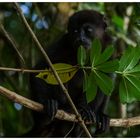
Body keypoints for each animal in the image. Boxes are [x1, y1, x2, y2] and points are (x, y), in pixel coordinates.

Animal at [28, 10, 111, 138]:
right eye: (75, 31)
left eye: (88, 30)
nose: (80, 38)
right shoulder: (63, 42)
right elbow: (41, 67)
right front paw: (46, 103)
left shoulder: (108, 45)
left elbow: (106, 78)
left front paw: (91, 111)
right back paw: (51, 115)